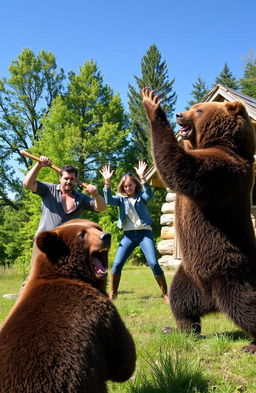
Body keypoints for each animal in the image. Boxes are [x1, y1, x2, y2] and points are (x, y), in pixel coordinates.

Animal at [142, 86, 256, 352]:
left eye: (199, 110)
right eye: (193, 107)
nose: (179, 114)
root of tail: (211, 299)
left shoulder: (221, 170)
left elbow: (179, 167)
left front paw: (153, 107)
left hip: (228, 270)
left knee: (245, 306)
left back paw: (252, 344)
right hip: (191, 273)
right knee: (180, 301)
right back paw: (179, 328)